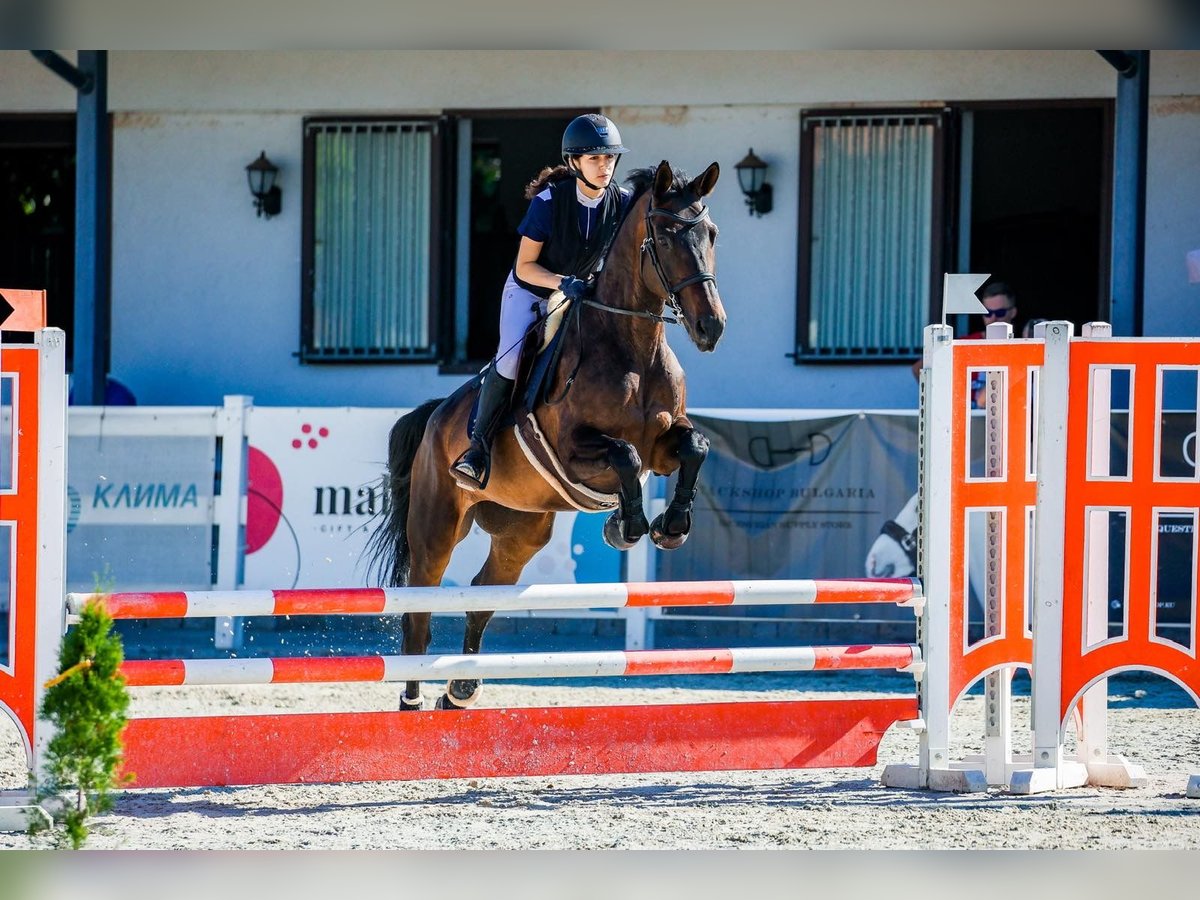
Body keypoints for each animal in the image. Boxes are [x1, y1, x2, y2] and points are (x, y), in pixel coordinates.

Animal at [364, 160, 720, 710]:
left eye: (711, 234)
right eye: (663, 236)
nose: (711, 327)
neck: (632, 346)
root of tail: (436, 416)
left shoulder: (664, 446)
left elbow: (693, 447)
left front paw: (671, 524)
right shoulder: (577, 451)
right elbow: (625, 456)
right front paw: (627, 526)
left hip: (521, 531)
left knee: (480, 595)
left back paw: (459, 690)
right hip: (436, 526)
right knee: (418, 613)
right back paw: (412, 702)